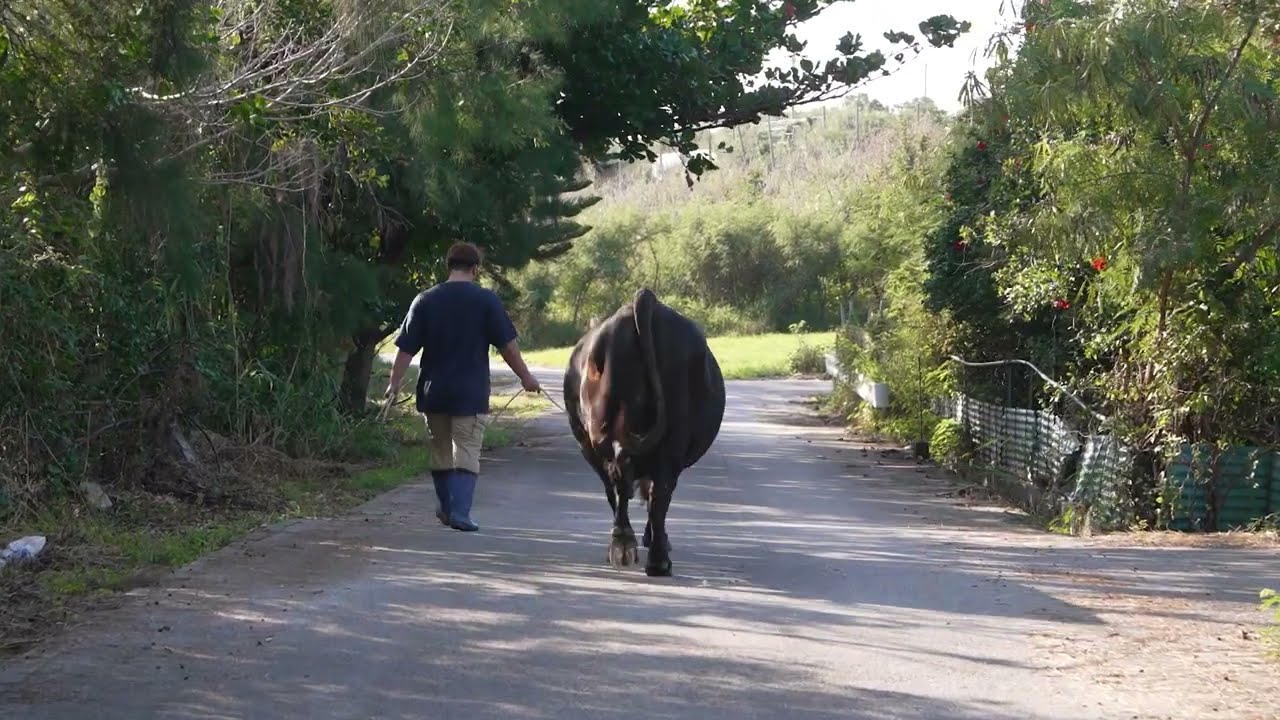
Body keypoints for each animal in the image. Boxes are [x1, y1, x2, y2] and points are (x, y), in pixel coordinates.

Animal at [565, 288, 727, 573]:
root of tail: (643, 300)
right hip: (668, 439)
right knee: (655, 491)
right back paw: (656, 558)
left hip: (598, 436)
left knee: (619, 483)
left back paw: (624, 544)